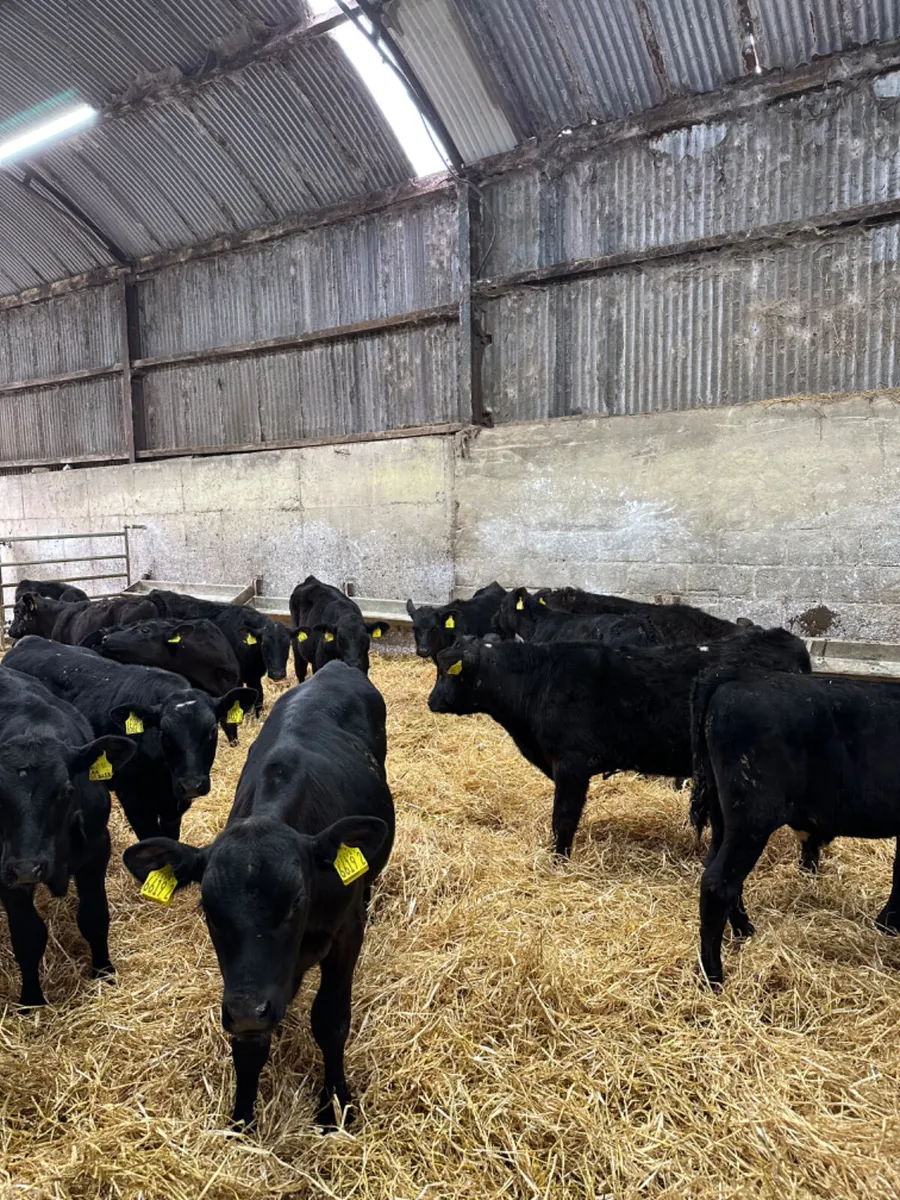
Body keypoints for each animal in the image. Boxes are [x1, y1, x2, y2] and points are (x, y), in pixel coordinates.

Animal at [0, 667, 135, 1005]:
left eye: (66, 790)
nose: (27, 869)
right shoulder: (4, 868)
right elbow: (28, 936)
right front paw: (31, 1001)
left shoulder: (97, 849)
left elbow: (94, 917)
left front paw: (104, 973)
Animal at [2, 638, 255, 842]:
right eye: (164, 734)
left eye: (212, 730)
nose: (191, 785)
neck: (163, 777)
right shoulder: (133, 802)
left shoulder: (174, 807)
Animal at [123, 660, 395, 1129]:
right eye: (207, 908)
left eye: (298, 900)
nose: (250, 1009)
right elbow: (250, 1044)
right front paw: (241, 1120)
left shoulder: (345, 934)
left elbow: (331, 1020)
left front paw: (333, 1104)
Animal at [428, 628, 810, 858]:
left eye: (447, 671)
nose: (431, 701)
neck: (539, 681)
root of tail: (781, 637)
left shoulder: (572, 764)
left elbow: (563, 818)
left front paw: (558, 860)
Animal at [690, 668, 900, 987]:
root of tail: (730, 682)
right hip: (752, 819)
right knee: (718, 882)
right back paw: (713, 977)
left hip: (723, 818)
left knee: (719, 871)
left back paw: (745, 933)